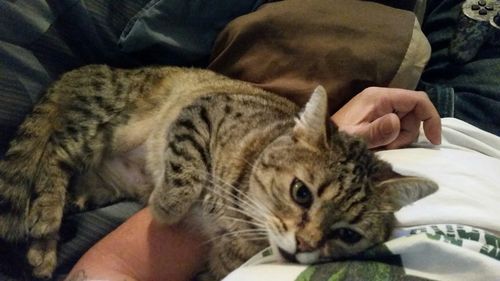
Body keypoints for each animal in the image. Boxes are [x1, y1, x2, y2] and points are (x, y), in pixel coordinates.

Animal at [0, 65, 438, 278]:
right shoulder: (202, 111)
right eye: (301, 193)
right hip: (97, 124)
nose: (305, 246)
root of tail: (98, 69)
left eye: (348, 235)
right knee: (51, 156)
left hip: (104, 178)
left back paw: (50, 234)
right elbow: (185, 169)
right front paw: (167, 206)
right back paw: (44, 221)